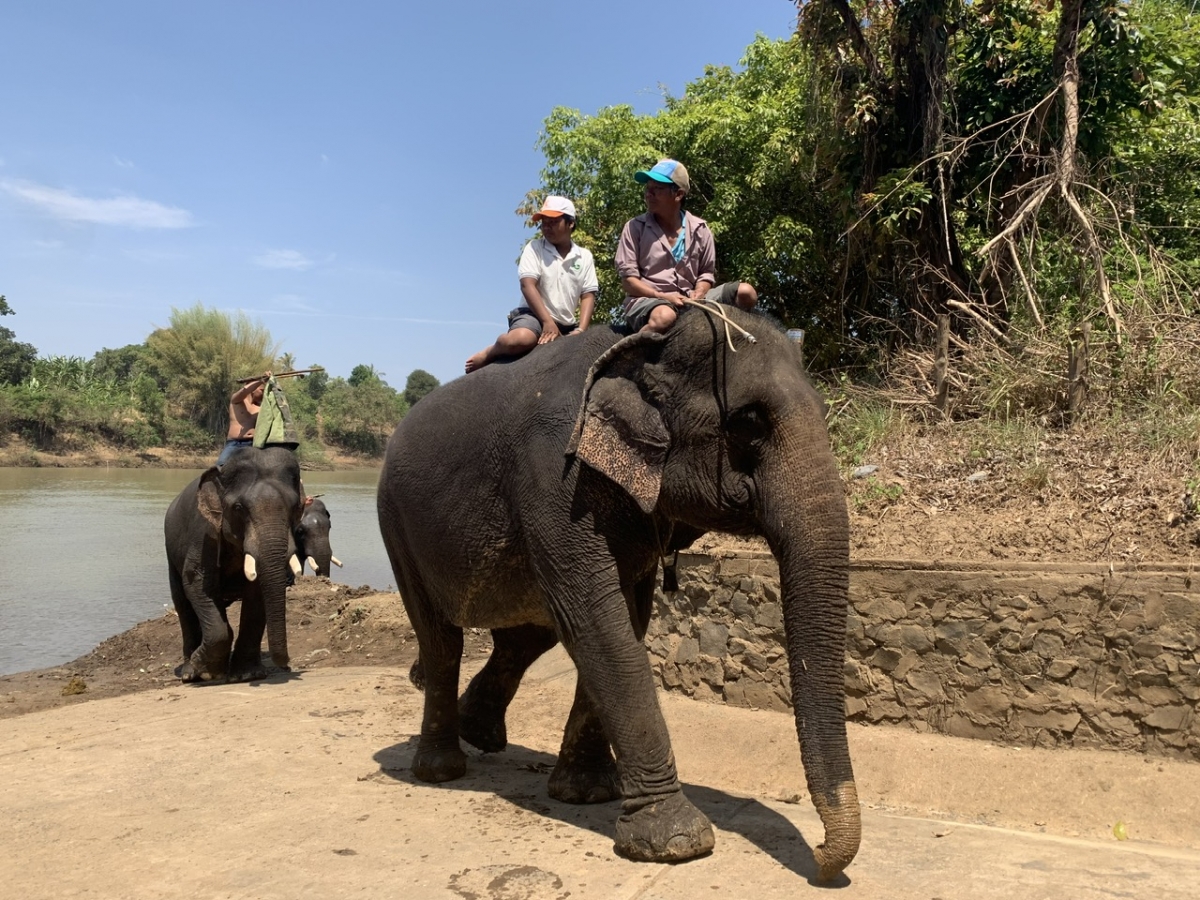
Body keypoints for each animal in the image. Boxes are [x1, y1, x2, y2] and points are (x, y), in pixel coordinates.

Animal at [163, 448, 304, 686]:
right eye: (239, 508)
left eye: (295, 507)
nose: (287, 665)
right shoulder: (203, 535)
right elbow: (197, 584)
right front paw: (207, 670)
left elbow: (257, 595)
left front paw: (246, 675)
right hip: (170, 554)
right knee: (182, 603)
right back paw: (189, 673)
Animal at [379, 307, 859, 883]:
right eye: (747, 423)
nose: (821, 861)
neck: (644, 346)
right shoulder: (554, 474)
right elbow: (597, 621)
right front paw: (677, 841)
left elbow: (628, 618)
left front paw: (587, 795)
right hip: (396, 525)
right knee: (441, 641)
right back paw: (441, 769)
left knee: (526, 636)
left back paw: (482, 733)